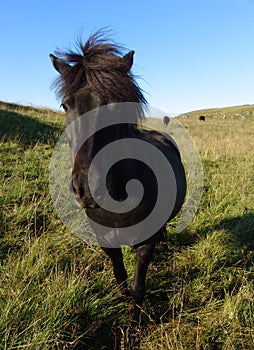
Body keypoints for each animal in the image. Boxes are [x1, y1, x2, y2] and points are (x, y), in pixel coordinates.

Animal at [49, 30, 186, 328]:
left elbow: (138, 286)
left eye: (116, 106)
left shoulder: (145, 243)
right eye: (65, 105)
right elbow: (120, 277)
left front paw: (134, 327)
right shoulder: (104, 238)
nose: (86, 189)